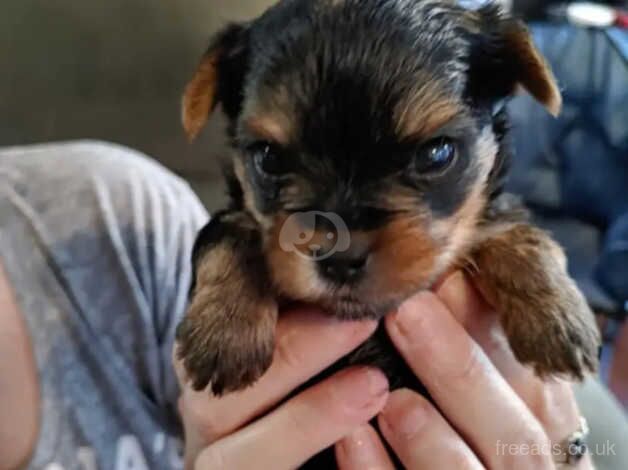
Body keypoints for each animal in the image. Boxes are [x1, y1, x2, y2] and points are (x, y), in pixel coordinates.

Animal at [175, 0, 600, 462]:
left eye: (436, 153)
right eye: (268, 158)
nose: (339, 256)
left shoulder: (492, 211)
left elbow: (519, 230)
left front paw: (557, 318)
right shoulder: (232, 217)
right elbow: (226, 233)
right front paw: (225, 330)